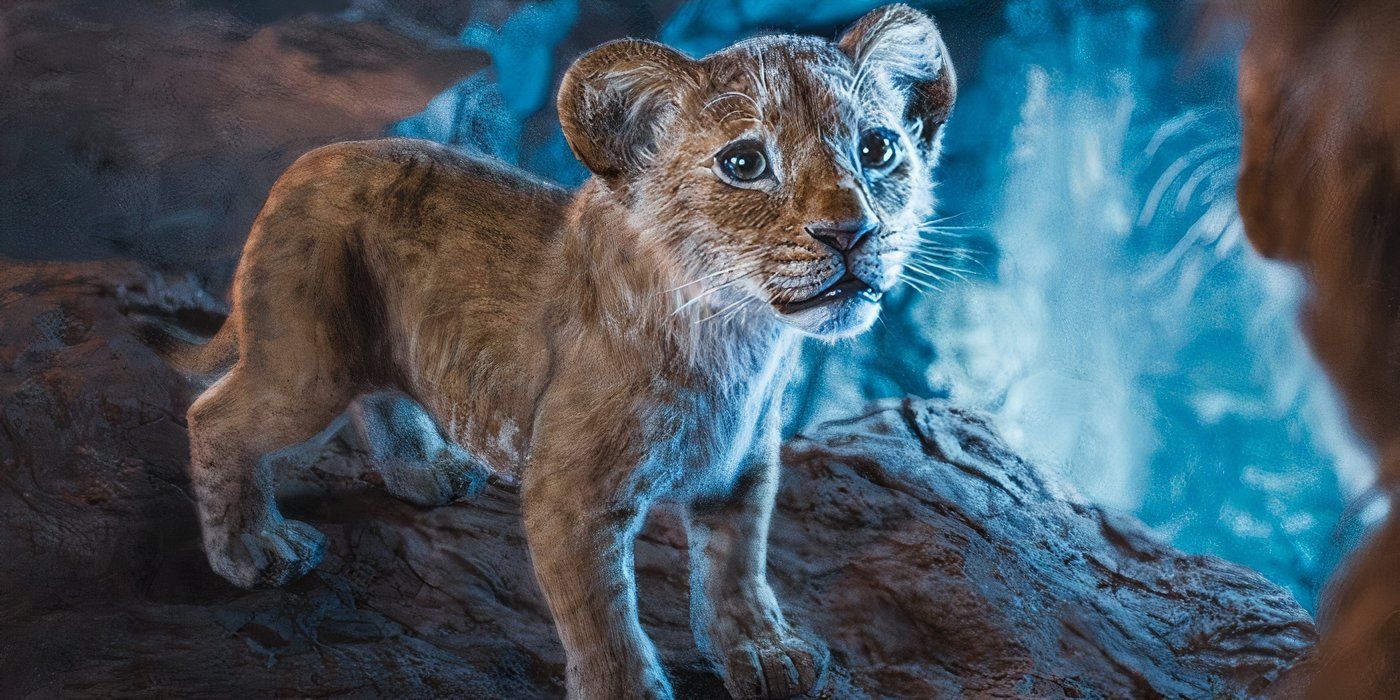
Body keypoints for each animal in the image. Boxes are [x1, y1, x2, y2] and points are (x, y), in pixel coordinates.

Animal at [178, 6, 955, 698]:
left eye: (878, 149)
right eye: (744, 163)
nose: (851, 232)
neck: (741, 340)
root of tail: (307, 163)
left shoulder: (742, 469)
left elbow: (737, 569)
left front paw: (765, 651)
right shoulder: (571, 493)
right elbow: (601, 616)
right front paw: (629, 690)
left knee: (381, 394)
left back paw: (427, 472)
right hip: (309, 363)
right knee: (215, 416)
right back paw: (253, 550)